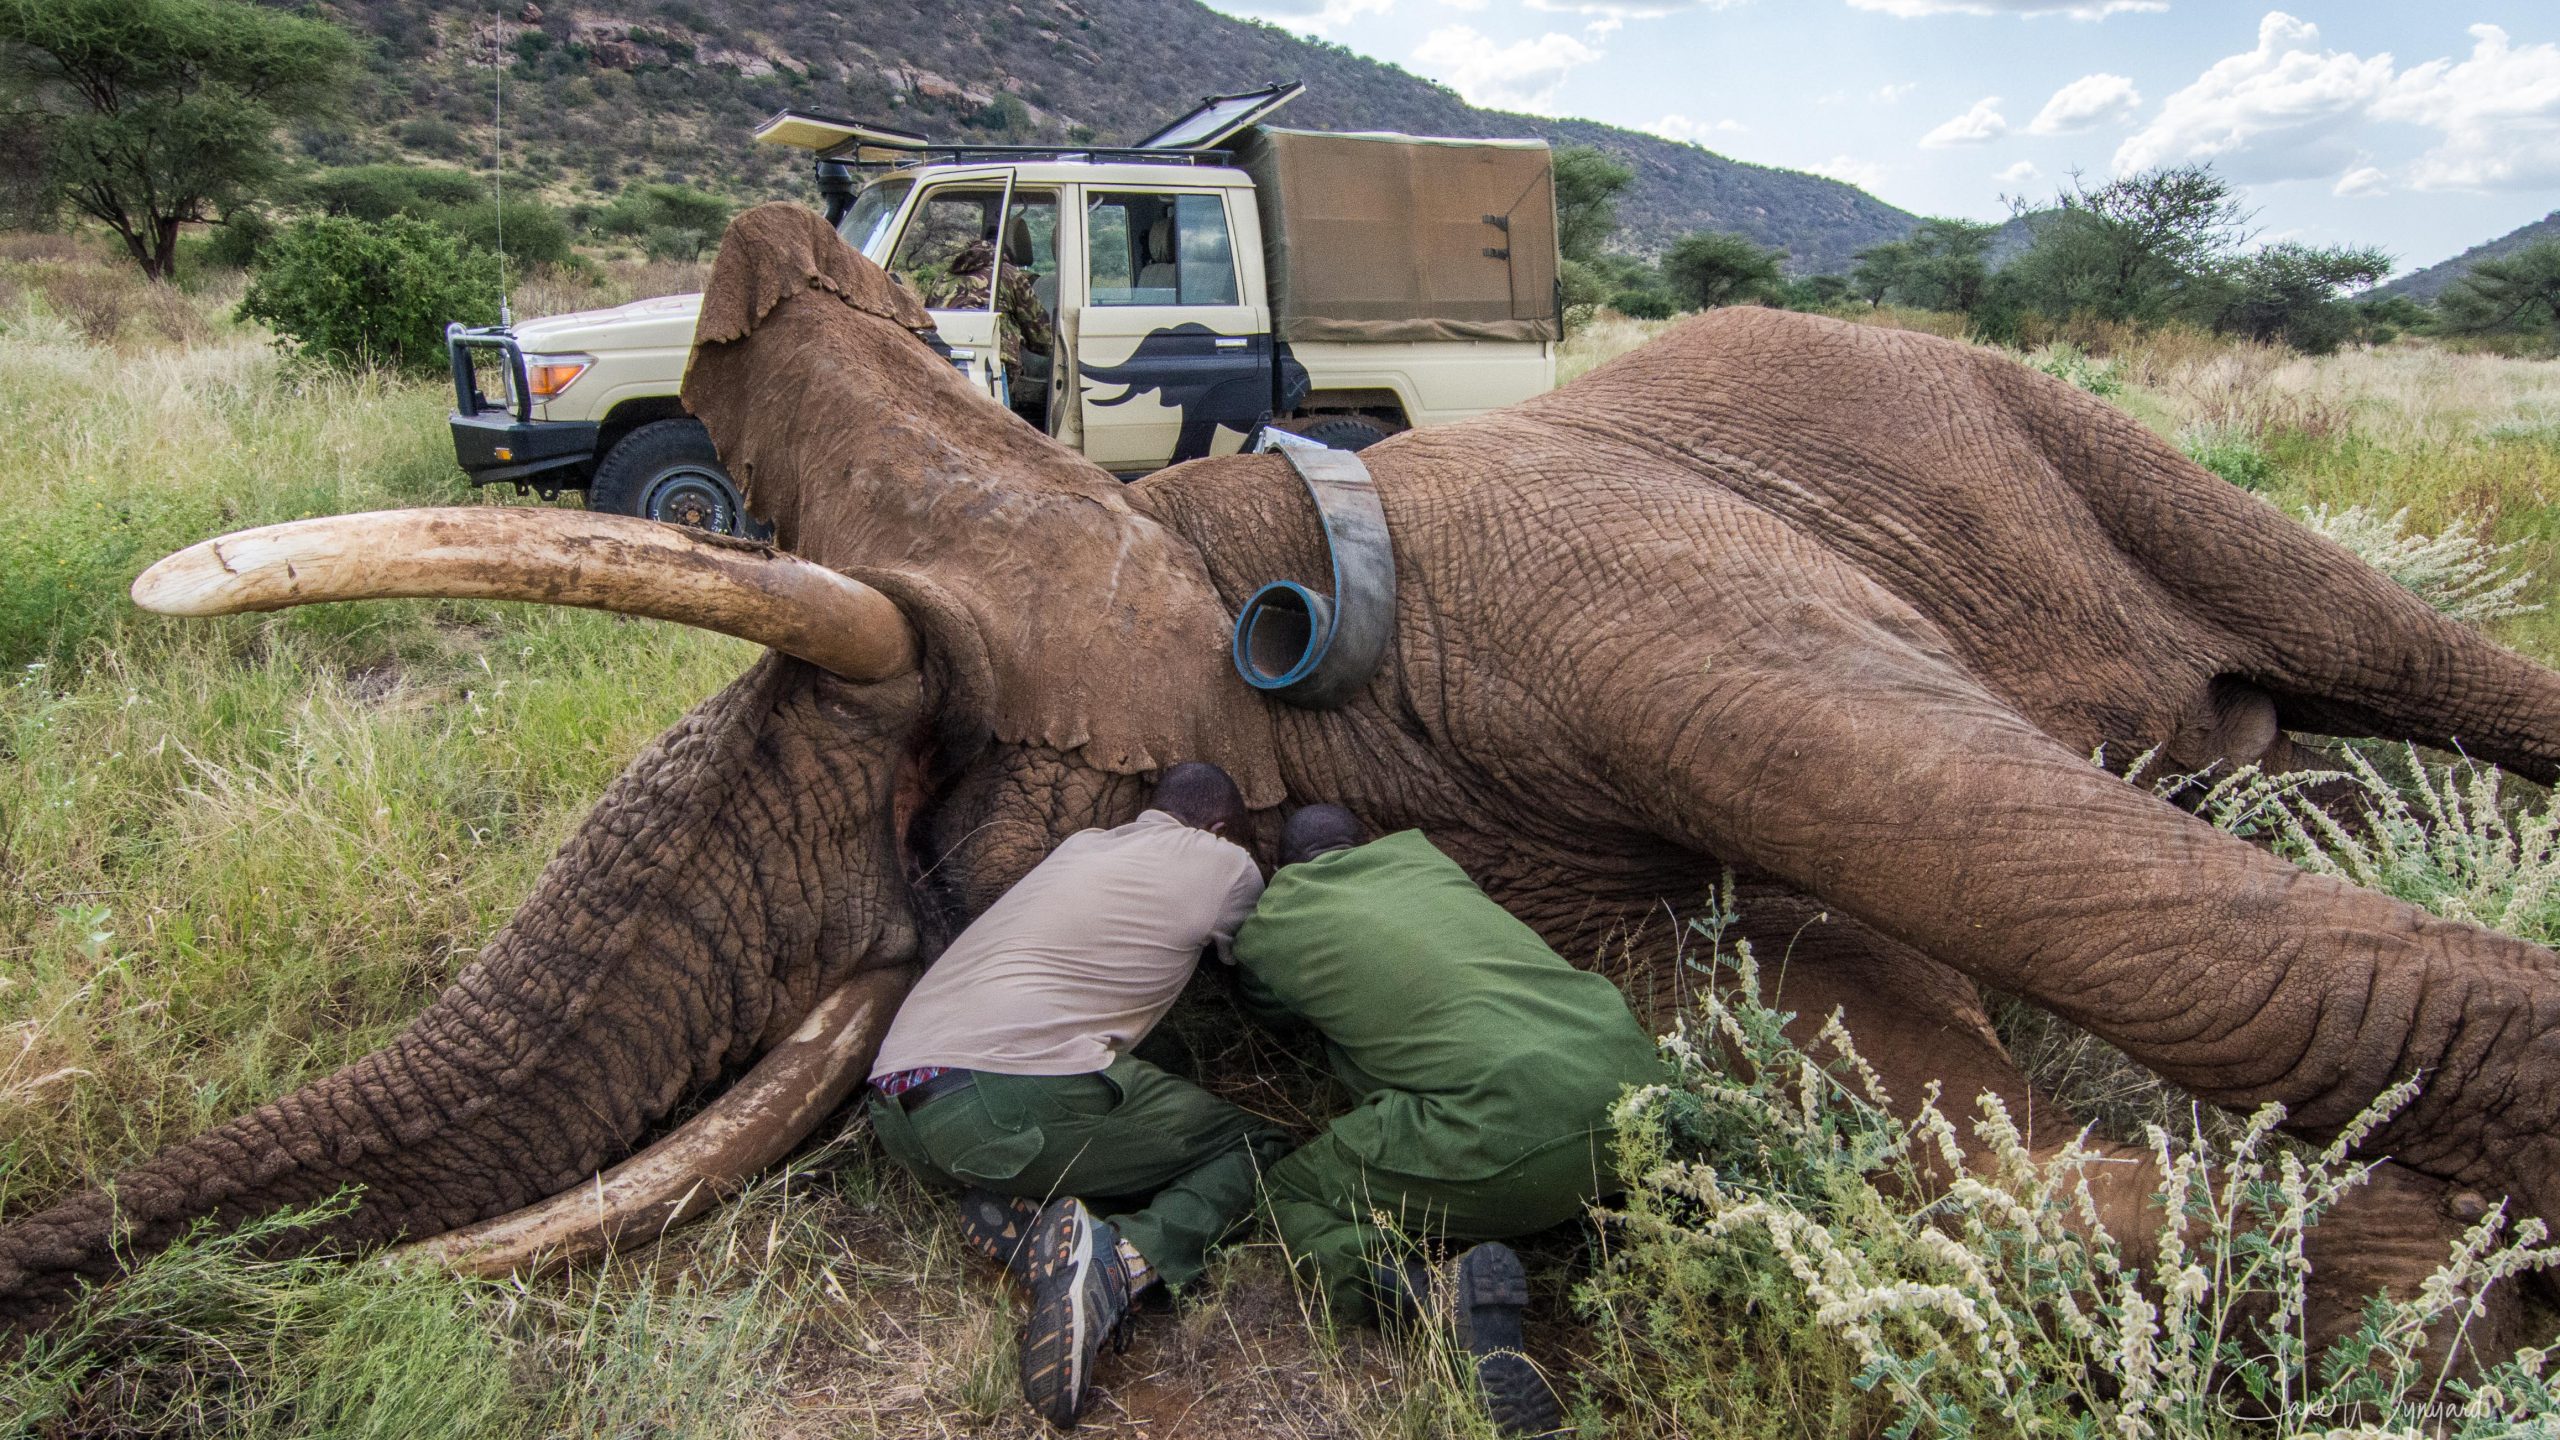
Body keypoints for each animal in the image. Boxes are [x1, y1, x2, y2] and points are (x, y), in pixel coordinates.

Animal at [4, 203, 2556, 1362]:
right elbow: (1899, 1113)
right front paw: (2366, 1266)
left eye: (947, 767)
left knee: (2390, 649)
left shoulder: (1630, 592)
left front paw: (2468, 1287)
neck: (1239, 533)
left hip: (2060, 421)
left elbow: (2194, 970)